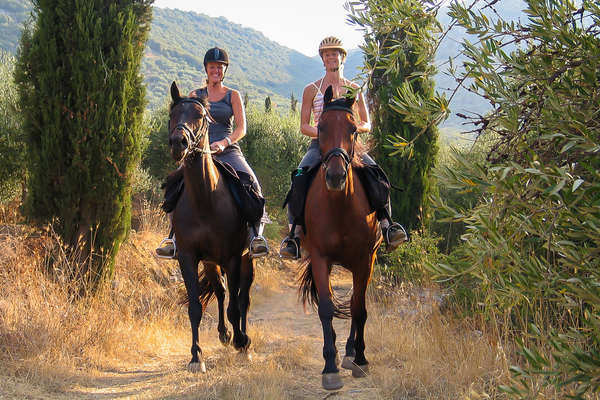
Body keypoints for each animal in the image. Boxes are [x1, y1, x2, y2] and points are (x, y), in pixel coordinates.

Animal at [168, 80, 254, 372]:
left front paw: (241, 342)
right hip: (211, 262)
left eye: (200, 117)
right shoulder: (188, 257)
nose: (178, 143)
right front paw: (196, 356)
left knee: (243, 296)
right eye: (172, 114)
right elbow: (195, 307)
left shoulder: (232, 257)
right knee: (221, 290)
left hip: (246, 258)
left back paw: (243, 339)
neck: (206, 199)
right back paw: (224, 333)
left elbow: (236, 306)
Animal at [298, 86, 382, 390]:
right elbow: (326, 308)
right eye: (320, 127)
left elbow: (359, 309)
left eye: (354, 129)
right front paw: (329, 367)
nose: (335, 176)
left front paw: (361, 360)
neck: (340, 207)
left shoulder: (365, 259)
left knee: (357, 303)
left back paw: (350, 353)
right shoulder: (320, 258)